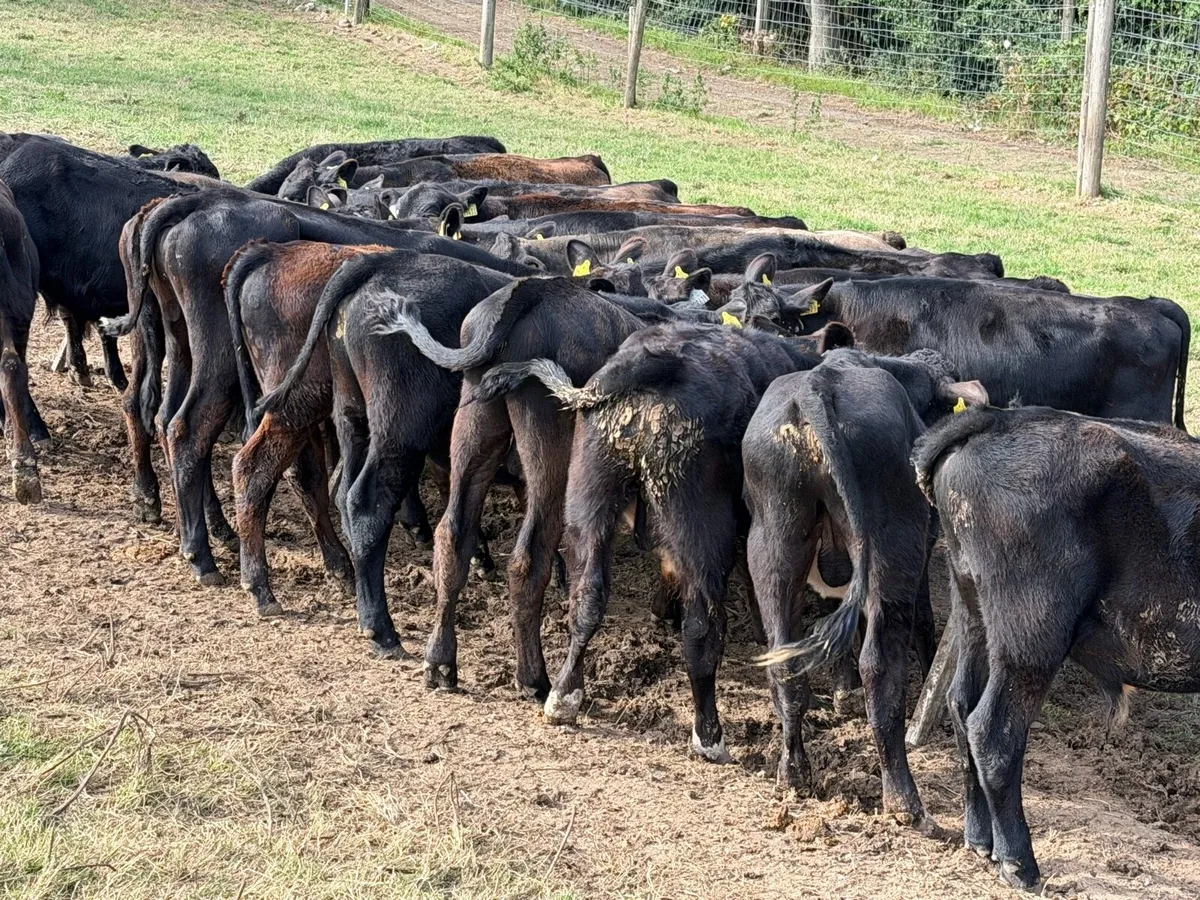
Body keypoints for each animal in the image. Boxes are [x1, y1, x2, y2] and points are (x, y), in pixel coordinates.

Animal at [487, 321, 851, 762]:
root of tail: (653, 364)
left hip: (588, 502)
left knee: (584, 597)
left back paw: (561, 695)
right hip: (703, 529)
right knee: (702, 628)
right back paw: (709, 736)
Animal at [745, 349, 987, 820]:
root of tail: (817, 384)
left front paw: (843, 693)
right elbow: (924, 623)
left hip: (773, 540)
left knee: (785, 659)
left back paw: (793, 776)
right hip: (895, 547)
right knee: (879, 663)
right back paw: (904, 801)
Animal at [912, 406, 1200, 888]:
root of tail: (997, 419)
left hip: (974, 614)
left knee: (960, 704)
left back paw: (980, 840)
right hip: (1030, 638)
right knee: (993, 731)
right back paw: (1019, 863)